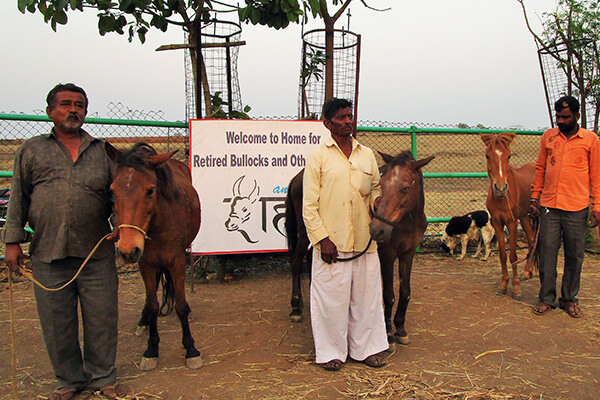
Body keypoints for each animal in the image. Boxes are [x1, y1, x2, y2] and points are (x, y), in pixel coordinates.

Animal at [106, 142, 204, 370]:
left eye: (150, 190)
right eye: (113, 191)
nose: (127, 249)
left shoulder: (177, 261)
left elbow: (181, 306)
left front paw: (191, 349)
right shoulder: (146, 263)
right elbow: (152, 306)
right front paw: (151, 349)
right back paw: (143, 321)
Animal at [370, 150, 432, 344]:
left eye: (405, 189)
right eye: (381, 184)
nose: (377, 230)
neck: (407, 223)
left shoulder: (408, 253)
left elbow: (405, 291)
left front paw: (400, 328)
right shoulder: (387, 255)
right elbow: (388, 295)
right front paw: (388, 334)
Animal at [480, 132, 536, 300]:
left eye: (509, 156)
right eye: (487, 156)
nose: (500, 188)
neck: (501, 199)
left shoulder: (511, 223)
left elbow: (513, 256)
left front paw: (516, 288)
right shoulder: (497, 223)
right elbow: (503, 255)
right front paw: (504, 285)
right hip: (525, 216)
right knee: (532, 239)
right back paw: (527, 271)